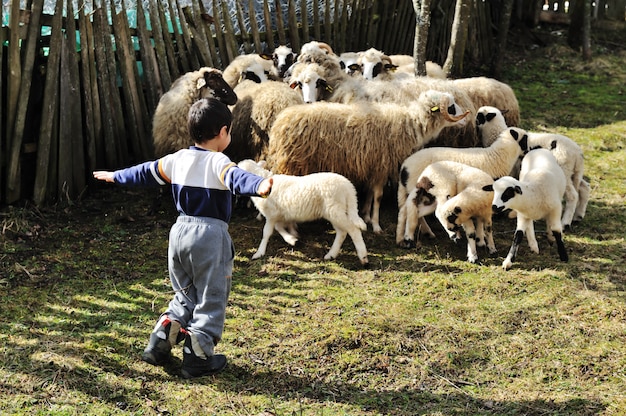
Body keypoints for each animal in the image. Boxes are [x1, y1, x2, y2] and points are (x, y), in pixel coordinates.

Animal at [236, 158, 368, 264]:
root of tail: (349, 188)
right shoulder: (281, 215)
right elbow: (280, 228)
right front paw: (292, 239)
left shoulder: (271, 215)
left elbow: (266, 233)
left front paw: (259, 253)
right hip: (335, 212)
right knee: (342, 232)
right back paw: (331, 255)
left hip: (336, 210)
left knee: (353, 230)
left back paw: (363, 257)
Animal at [264, 89, 468, 234]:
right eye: (451, 107)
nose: (466, 122)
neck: (409, 125)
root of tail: (279, 122)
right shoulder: (381, 165)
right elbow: (378, 196)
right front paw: (376, 225)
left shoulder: (371, 165)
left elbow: (370, 192)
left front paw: (366, 216)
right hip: (291, 163)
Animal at [392, 127, 524, 244]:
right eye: (525, 139)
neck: (497, 157)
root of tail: (404, 168)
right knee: (414, 210)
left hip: (420, 192)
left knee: (407, 210)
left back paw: (405, 237)